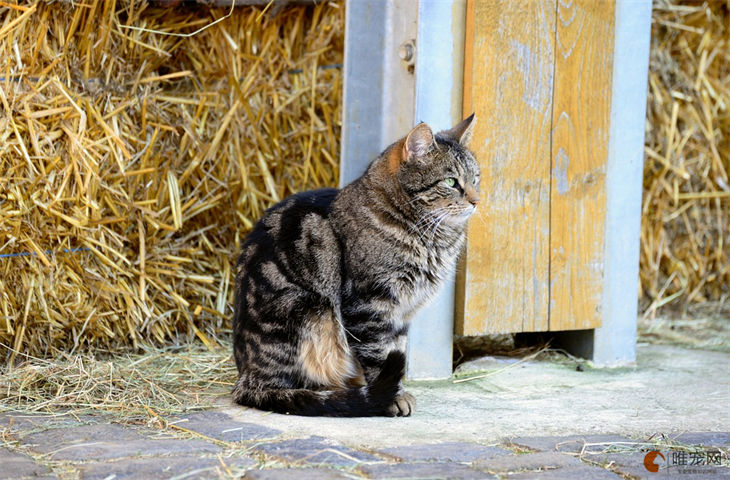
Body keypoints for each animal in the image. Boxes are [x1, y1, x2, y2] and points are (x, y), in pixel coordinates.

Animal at [232, 115, 478, 416]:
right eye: (451, 181)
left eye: (475, 179)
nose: (476, 201)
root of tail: (245, 376)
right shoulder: (369, 304)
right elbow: (380, 356)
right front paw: (392, 397)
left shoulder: (401, 313)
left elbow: (396, 349)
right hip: (310, 312)